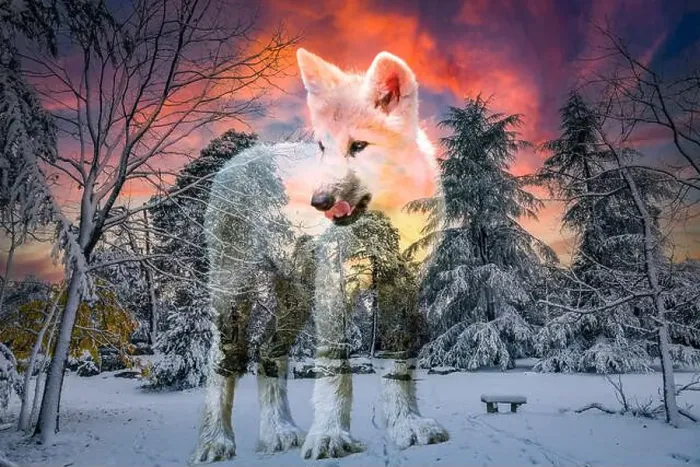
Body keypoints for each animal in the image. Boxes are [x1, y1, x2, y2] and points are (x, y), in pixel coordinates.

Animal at [189, 48, 449, 464]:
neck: (388, 218)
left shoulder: (403, 286)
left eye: (358, 146)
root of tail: (238, 159)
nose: (319, 201)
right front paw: (330, 437)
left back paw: (279, 433)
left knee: (266, 353)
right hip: (234, 295)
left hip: (296, 302)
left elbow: (399, 360)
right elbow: (334, 367)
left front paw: (407, 426)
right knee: (222, 363)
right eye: (323, 147)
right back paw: (215, 442)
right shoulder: (335, 287)